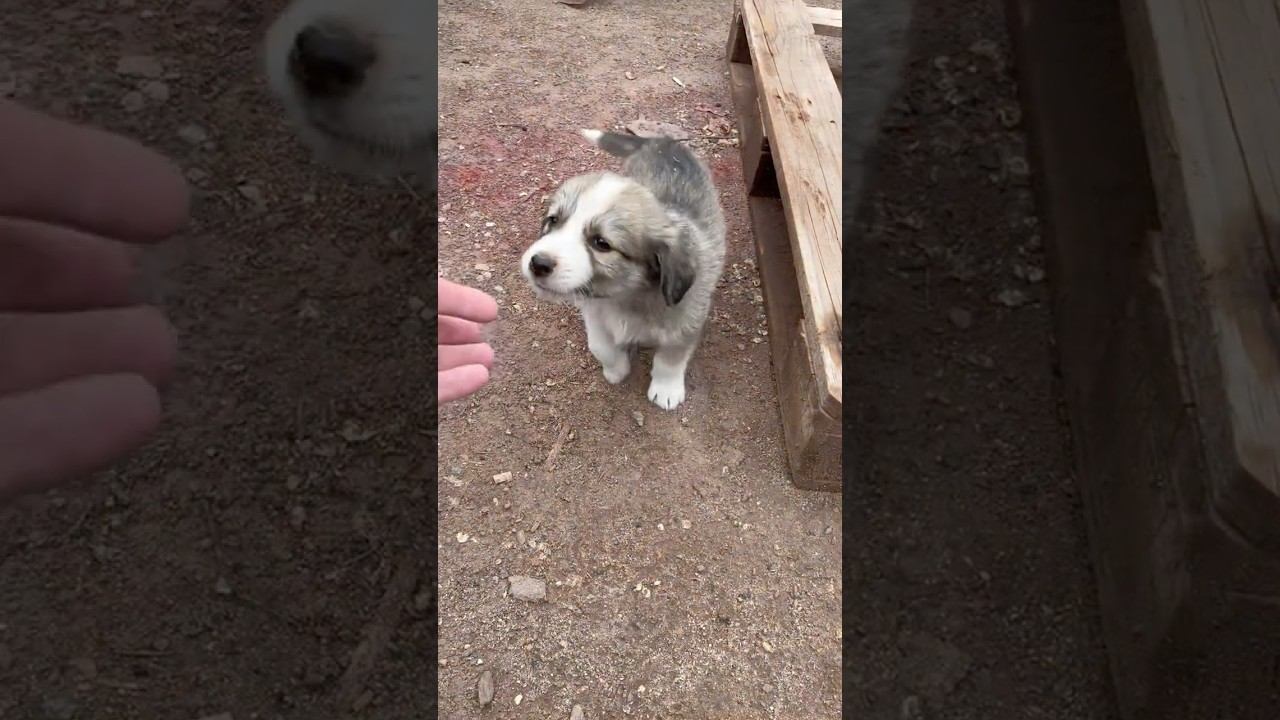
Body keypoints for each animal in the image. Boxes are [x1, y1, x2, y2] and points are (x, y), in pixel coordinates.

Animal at [520, 130, 727, 411]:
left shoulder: (686, 322)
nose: (538, 263)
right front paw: (616, 370)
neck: (626, 295)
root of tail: (661, 141)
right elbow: (600, 346)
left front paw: (666, 390)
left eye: (601, 243)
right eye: (553, 220)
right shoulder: (594, 315)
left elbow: (670, 359)